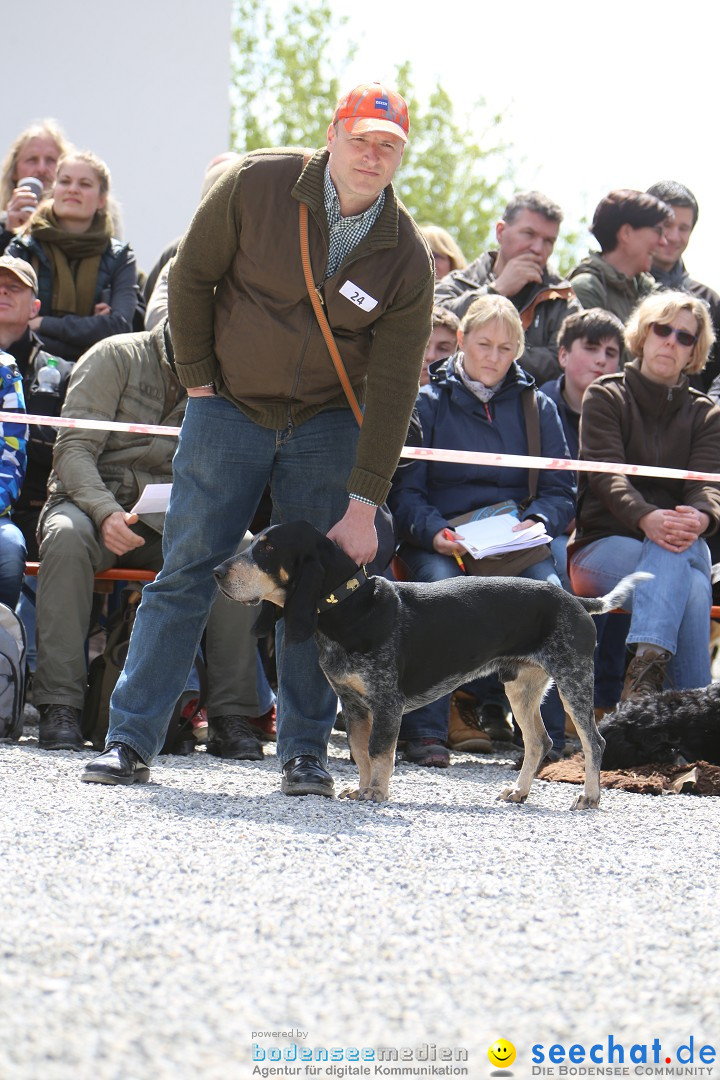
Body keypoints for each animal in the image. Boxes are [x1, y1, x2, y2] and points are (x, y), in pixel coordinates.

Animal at [212, 522, 647, 812]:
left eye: (267, 549)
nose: (216, 572)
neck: (350, 608)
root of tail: (576, 600)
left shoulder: (386, 702)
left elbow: (379, 751)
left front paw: (376, 793)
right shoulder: (353, 706)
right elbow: (360, 750)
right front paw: (363, 787)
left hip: (574, 680)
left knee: (593, 741)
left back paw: (589, 796)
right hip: (520, 687)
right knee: (539, 741)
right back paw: (518, 792)